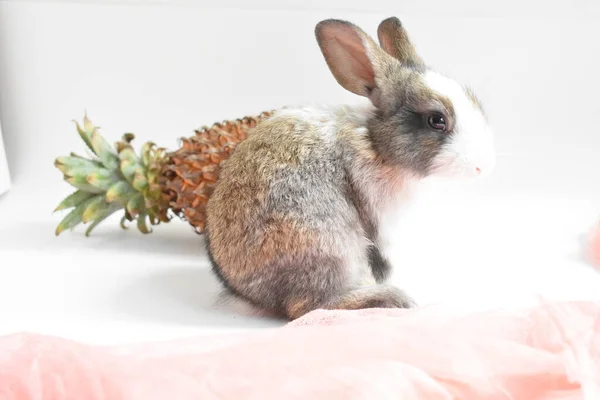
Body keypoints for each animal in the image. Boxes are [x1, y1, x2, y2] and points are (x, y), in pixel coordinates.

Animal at [204, 17, 494, 320]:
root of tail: (250, 294)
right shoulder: (381, 222)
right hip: (330, 245)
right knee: (308, 306)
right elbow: (386, 263)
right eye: (437, 120)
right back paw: (392, 298)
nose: (483, 166)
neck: (378, 145)